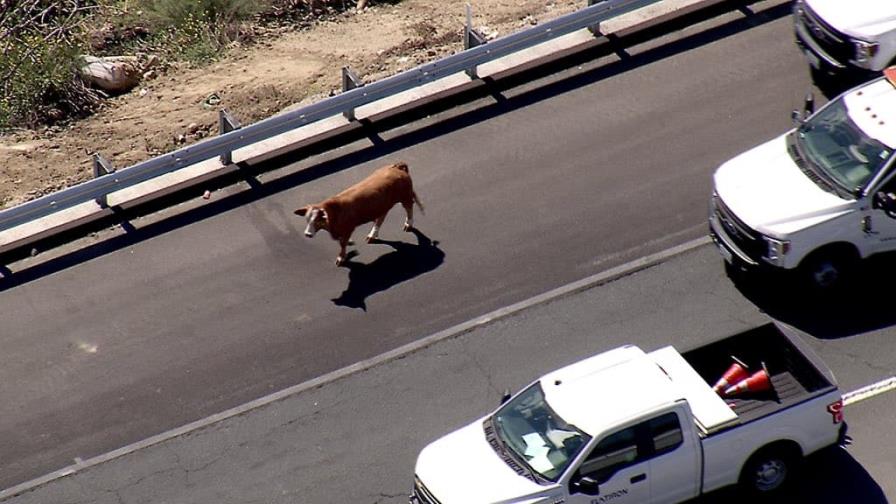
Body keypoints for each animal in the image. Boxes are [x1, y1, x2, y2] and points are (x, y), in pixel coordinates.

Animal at [294, 161, 424, 266]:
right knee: (380, 218)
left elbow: (342, 243)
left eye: (318, 220)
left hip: (405, 197)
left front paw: (341, 258)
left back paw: (408, 224)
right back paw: (372, 235)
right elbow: (342, 241)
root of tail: (397, 167)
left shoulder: (348, 228)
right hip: (382, 206)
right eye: (307, 219)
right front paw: (349, 244)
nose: (307, 234)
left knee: (409, 209)